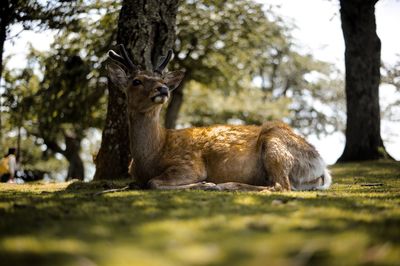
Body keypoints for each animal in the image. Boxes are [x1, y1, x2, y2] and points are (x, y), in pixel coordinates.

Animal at [105, 44, 332, 192]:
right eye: (136, 81)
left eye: (162, 80)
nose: (162, 88)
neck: (151, 156)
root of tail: (321, 166)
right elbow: (137, 183)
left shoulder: (189, 164)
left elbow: (153, 183)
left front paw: (204, 184)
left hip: (275, 143)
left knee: (281, 186)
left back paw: (223, 185)